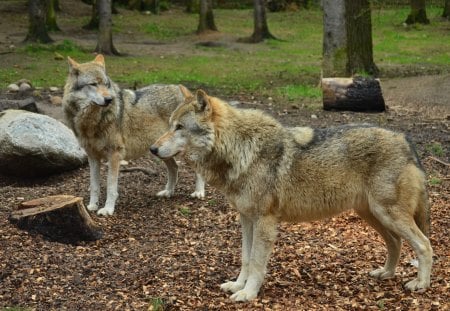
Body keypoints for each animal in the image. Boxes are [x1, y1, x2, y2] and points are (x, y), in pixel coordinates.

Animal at [62, 54, 206, 217]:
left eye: (106, 84)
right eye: (93, 84)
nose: (109, 99)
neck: (92, 121)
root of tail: (187, 94)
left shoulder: (114, 155)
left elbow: (111, 187)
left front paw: (108, 209)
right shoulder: (93, 157)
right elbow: (94, 185)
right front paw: (92, 206)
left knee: (198, 168)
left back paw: (199, 192)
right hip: (160, 151)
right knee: (175, 168)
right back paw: (168, 192)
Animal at [151, 89, 432, 302]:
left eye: (179, 127)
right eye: (170, 125)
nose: (152, 149)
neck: (240, 148)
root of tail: (406, 140)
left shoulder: (264, 221)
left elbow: (256, 262)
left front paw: (248, 294)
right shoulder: (246, 218)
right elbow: (245, 258)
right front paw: (237, 285)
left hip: (387, 215)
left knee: (424, 245)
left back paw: (420, 284)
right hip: (373, 215)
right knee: (396, 243)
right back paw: (386, 273)